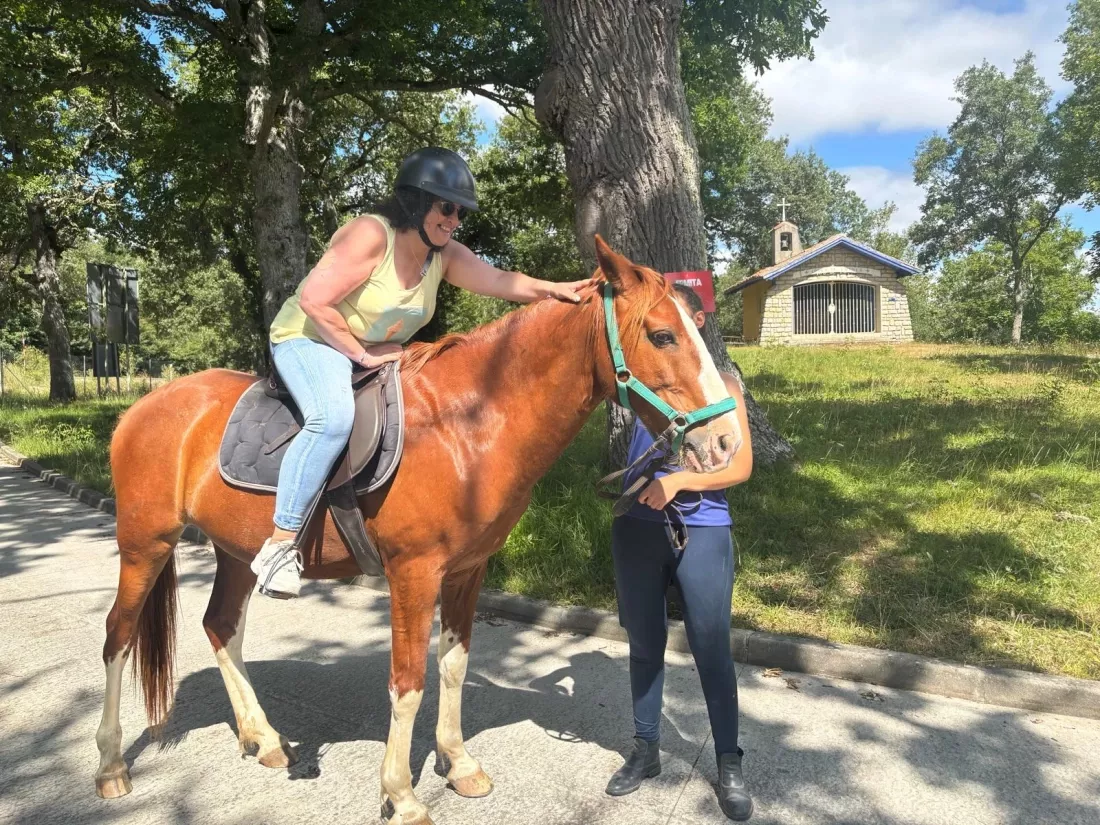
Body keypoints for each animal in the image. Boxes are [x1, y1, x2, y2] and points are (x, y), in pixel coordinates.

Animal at [94, 236, 744, 825]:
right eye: (662, 335)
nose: (725, 442)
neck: (466, 428)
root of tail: (141, 409)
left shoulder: (466, 571)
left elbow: (452, 665)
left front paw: (458, 764)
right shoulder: (413, 573)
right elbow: (406, 683)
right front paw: (401, 796)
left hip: (234, 551)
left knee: (221, 627)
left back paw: (265, 738)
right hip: (145, 543)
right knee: (118, 635)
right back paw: (110, 765)